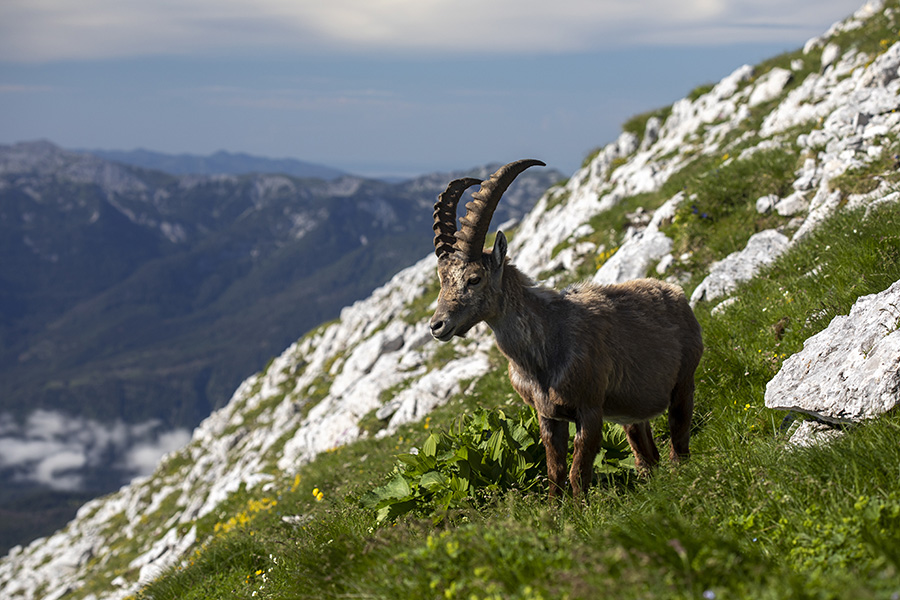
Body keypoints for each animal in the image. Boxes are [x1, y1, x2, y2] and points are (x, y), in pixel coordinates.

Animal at [429, 159, 703, 499]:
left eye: (475, 278)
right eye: (442, 280)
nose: (437, 325)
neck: (543, 350)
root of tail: (675, 293)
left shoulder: (590, 409)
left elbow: (578, 473)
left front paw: (583, 509)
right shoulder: (548, 415)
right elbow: (555, 473)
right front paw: (555, 509)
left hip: (683, 383)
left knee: (679, 441)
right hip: (630, 411)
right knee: (645, 453)